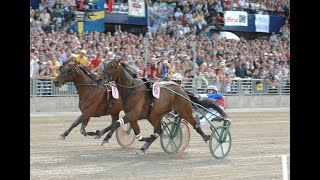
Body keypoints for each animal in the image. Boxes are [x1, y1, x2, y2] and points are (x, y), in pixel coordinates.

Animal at [95, 59, 228, 155]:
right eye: (104, 65)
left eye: (111, 67)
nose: (98, 79)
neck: (132, 89)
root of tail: (182, 90)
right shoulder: (133, 116)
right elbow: (137, 133)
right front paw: (145, 139)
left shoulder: (133, 114)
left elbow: (117, 123)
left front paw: (105, 139)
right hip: (154, 116)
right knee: (158, 131)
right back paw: (144, 147)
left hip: (184, 111)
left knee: (195, 124)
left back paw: (209, 137)